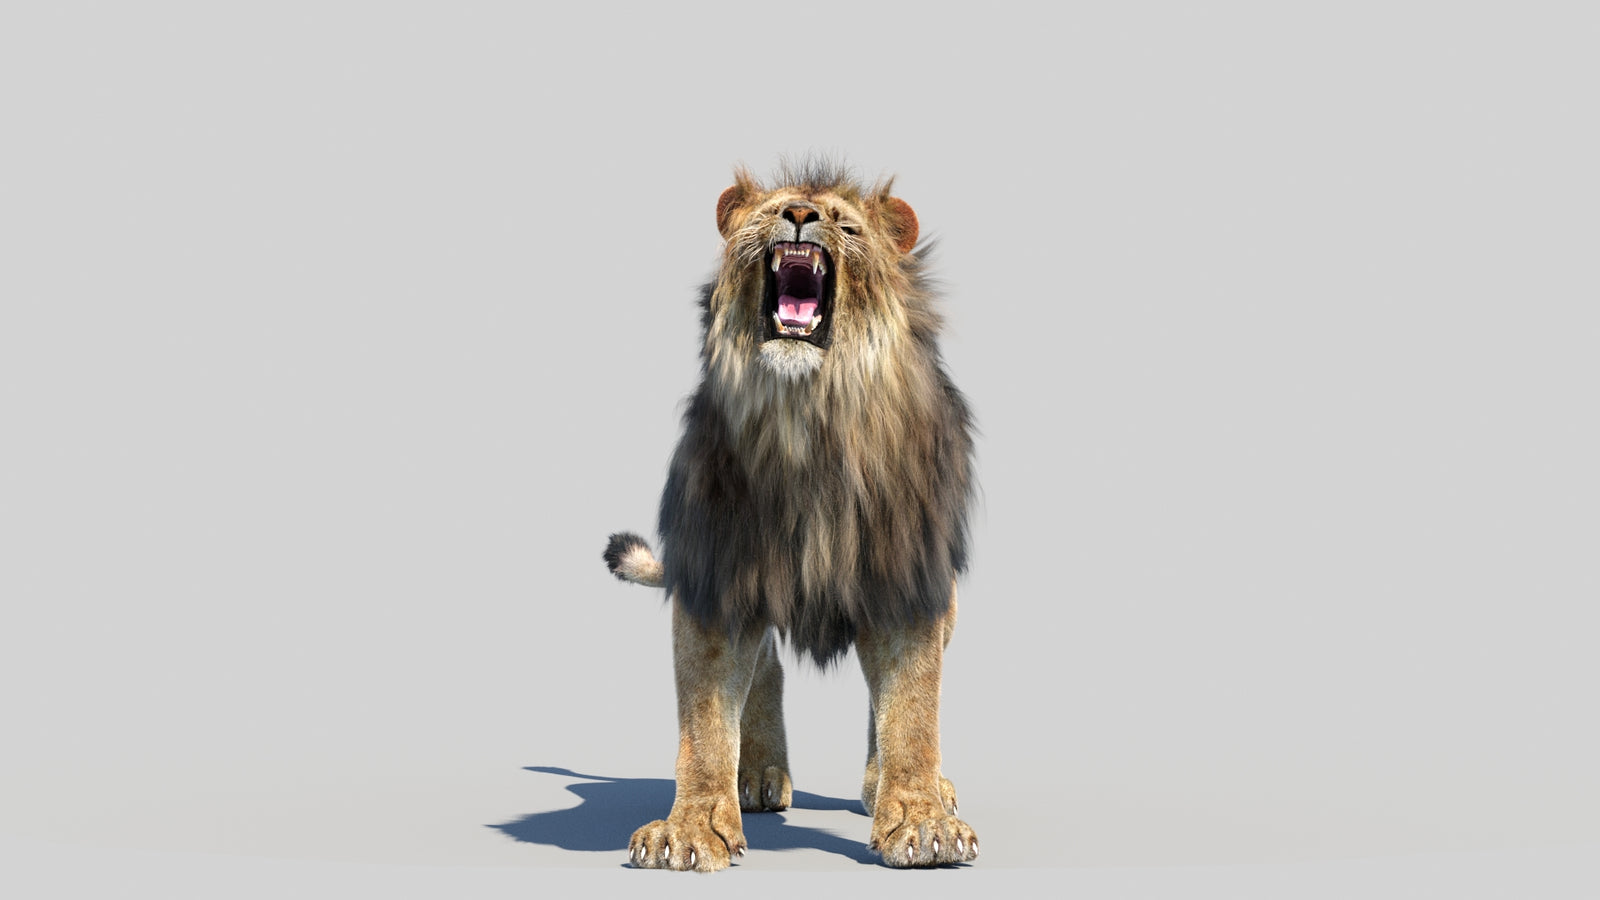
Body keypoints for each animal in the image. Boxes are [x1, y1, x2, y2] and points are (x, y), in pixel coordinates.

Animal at [603, 161, 977, 870]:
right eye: (768, 212)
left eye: (845, 225)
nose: (800, 214)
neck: (808, 418)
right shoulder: (716, 572)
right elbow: (704, 721)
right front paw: (690, 829)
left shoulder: (908, 578)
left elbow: (912, 707)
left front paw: (921, 822)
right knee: (766, 665)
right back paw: (756, 775)